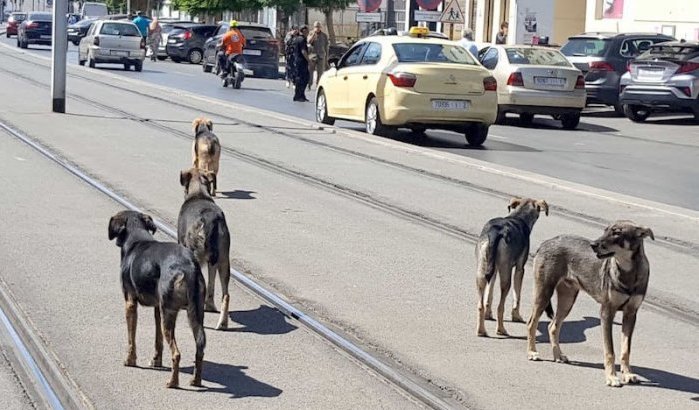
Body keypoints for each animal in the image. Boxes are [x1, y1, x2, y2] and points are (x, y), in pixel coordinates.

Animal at [106, 211, 205, 388]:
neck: (136, 238)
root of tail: (189, 266)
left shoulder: (130, 303)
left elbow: (131, 338)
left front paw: (130, 360)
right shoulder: (158, 308)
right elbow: (158, 339)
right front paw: (156, 361)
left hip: (170, 313)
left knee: (176, 353)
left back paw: (173, 382)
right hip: (194, 313)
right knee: (199, 346)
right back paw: (195, 380)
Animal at [178, 167, 232, 330]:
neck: (199, 192)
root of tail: (210, 221)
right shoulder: (212, 262)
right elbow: (211, 284)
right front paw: (210, 305)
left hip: (194, 254)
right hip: (224, 260)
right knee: (226, 294)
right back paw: (223, 322)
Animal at [476, 198, 552, 336]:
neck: (518, 217)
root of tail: (497, 232)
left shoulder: (494, 270)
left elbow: (489, 295)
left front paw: (488, 314)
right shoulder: (520, 268)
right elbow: (517, 295)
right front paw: (516, 316)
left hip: (482, 271)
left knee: (480, 305)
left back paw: (481, 330)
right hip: (506, 275)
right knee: (500, 306)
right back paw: (501, 329)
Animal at [528, 221, 652, 388]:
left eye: (617, 233)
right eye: (605, 230)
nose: (593, 245)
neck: (629, 271)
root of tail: (546, 242)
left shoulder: (630, 314)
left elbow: (626, 350)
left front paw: (627, 374)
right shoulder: (607, 313)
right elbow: (610, 351)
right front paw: (611, 377)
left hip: (567, 299)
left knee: (553, 326)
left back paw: (558, 355)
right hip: (544, 293)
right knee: (531, 323)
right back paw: (532, 352)